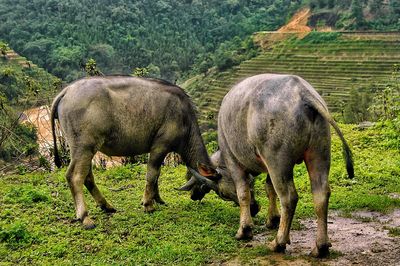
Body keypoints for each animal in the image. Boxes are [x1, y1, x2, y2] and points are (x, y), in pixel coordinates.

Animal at [51, 76, 214, 229]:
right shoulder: (160, 147)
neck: (185, 121)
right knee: (75, 177)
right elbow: (152, 175)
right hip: (84, 147)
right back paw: (85, 217)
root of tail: (67, 90)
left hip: (83, 150)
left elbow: (157, 175)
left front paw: (158, 199)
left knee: (87, 176)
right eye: (206, 187)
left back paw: (106, 206)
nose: (195, 197)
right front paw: (148, 204)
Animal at [184, 74, 354, 256]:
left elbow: (243, 192)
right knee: (321, 193)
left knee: (288, 197)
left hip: (277, 160)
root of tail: (303, 93)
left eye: (222, 194)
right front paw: (273, 219)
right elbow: (269, 188)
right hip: (319, 152)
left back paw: (278, 243)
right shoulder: (267, 168)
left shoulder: (234, 161)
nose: (254, 209)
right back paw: (320, 246)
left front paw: (244, 230)